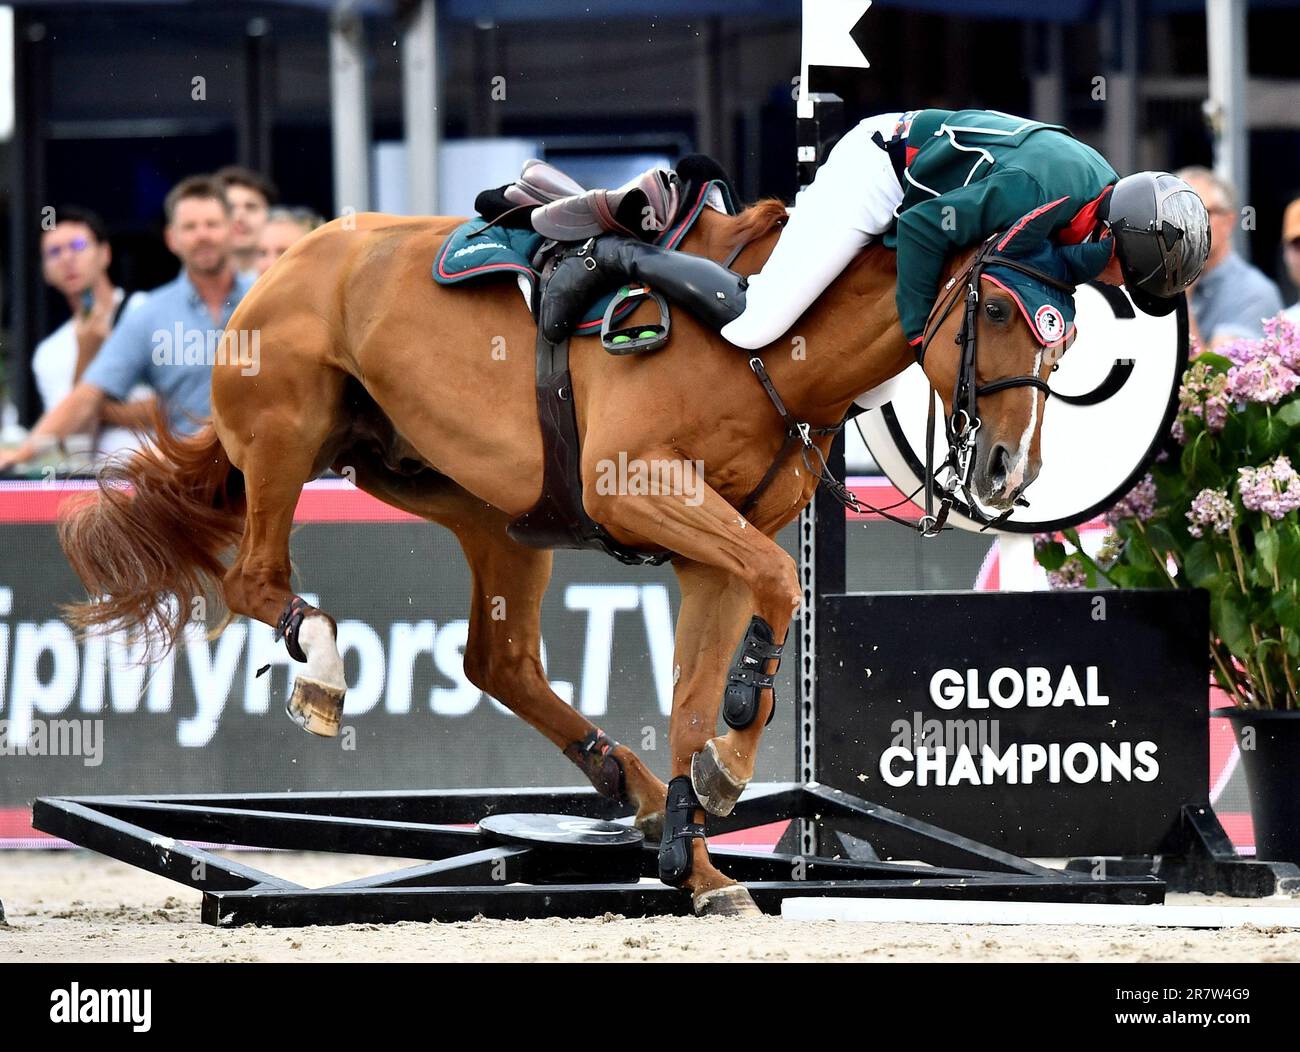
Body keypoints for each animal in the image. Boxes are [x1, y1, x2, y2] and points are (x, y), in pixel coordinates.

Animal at [58, 201, 1055, 915]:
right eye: (996, 307)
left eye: (1067, 330)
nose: (1011, 468)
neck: (763, 338)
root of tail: (284, 260)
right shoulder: (641, 487)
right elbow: (777, 591)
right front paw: (725, 779)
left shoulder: (714, 553)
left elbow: (696, 701)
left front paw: (698, 858)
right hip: (286, 436)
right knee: (256, 580)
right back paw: (325, 669)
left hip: (489, 511)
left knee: (495, 660)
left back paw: (635, 787)